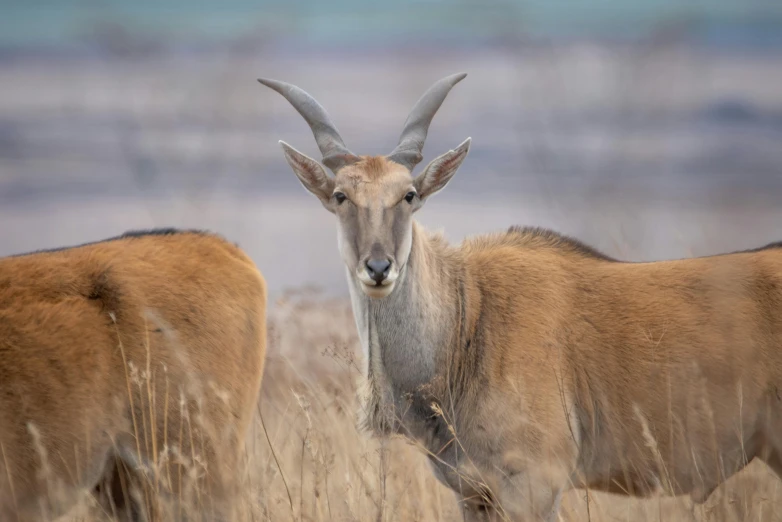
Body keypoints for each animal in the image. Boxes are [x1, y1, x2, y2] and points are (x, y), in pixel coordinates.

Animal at [260, 72, 782, 516]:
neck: (469, 319)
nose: (378, 268)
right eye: (341, 197)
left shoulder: (535, 485)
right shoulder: (474, 495)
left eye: (408, 195)